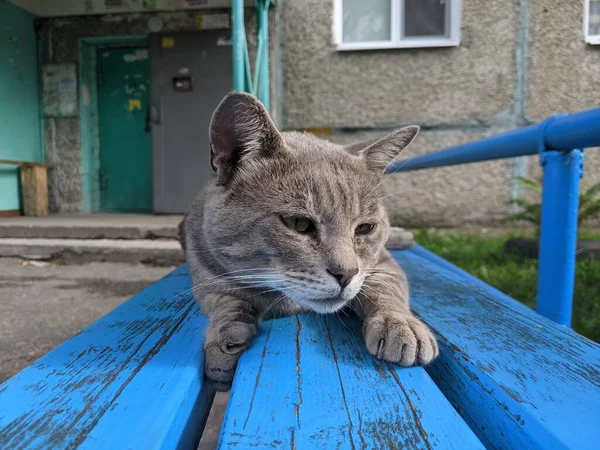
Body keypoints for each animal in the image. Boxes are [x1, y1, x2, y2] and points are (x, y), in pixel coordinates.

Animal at [180, 91, 438, 390]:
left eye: (365, 228)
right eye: (298, 223)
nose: (347, 273)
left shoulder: (381, 263)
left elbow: (387, 287)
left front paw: (401, 325)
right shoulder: (204, 272)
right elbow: (225, 301)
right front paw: (226, 340)